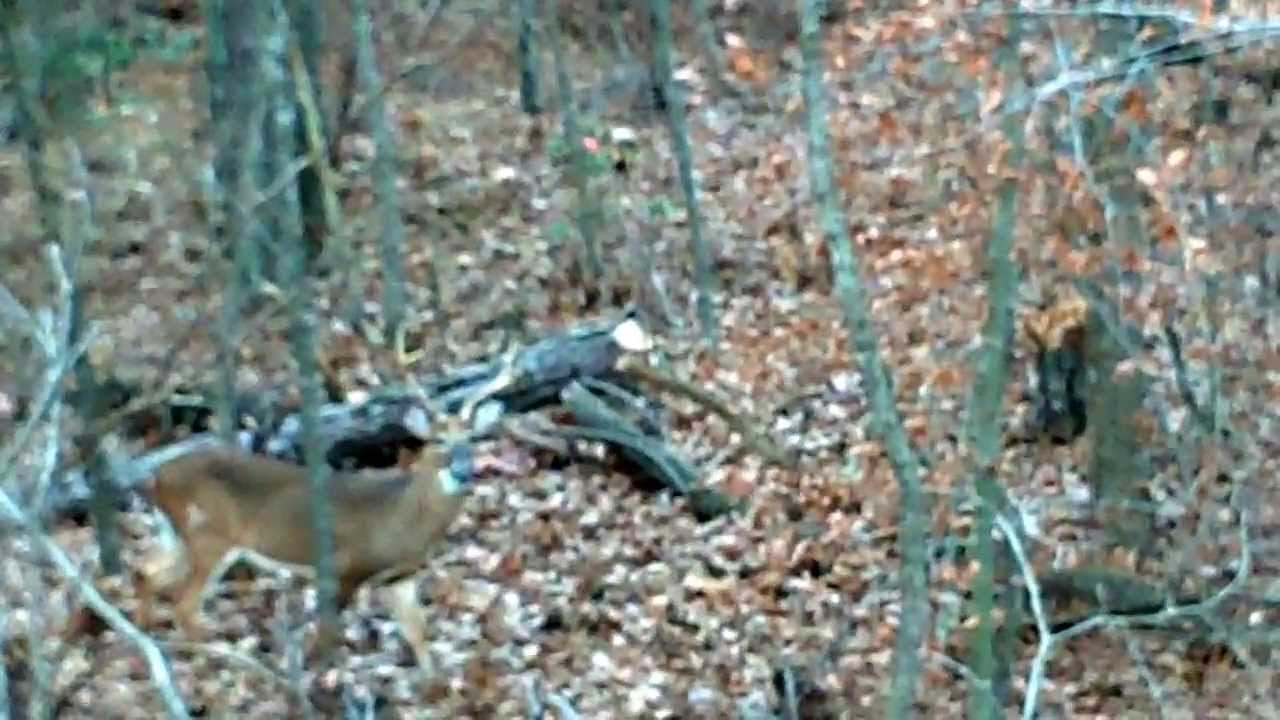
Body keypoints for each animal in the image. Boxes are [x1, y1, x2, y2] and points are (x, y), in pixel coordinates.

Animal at [136, 355, 517, 668]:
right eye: (437, 441)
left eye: (473, 438)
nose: (463, 470)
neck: (402, 516)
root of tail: (156, 476)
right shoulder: (344, 567)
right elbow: (327, 634)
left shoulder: (399, 576)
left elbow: (418, 634)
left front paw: (433, 683)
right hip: (209, 535)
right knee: (184, 604)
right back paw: (218, 657)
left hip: (178, 535)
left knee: (146, 572)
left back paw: (148, 635)